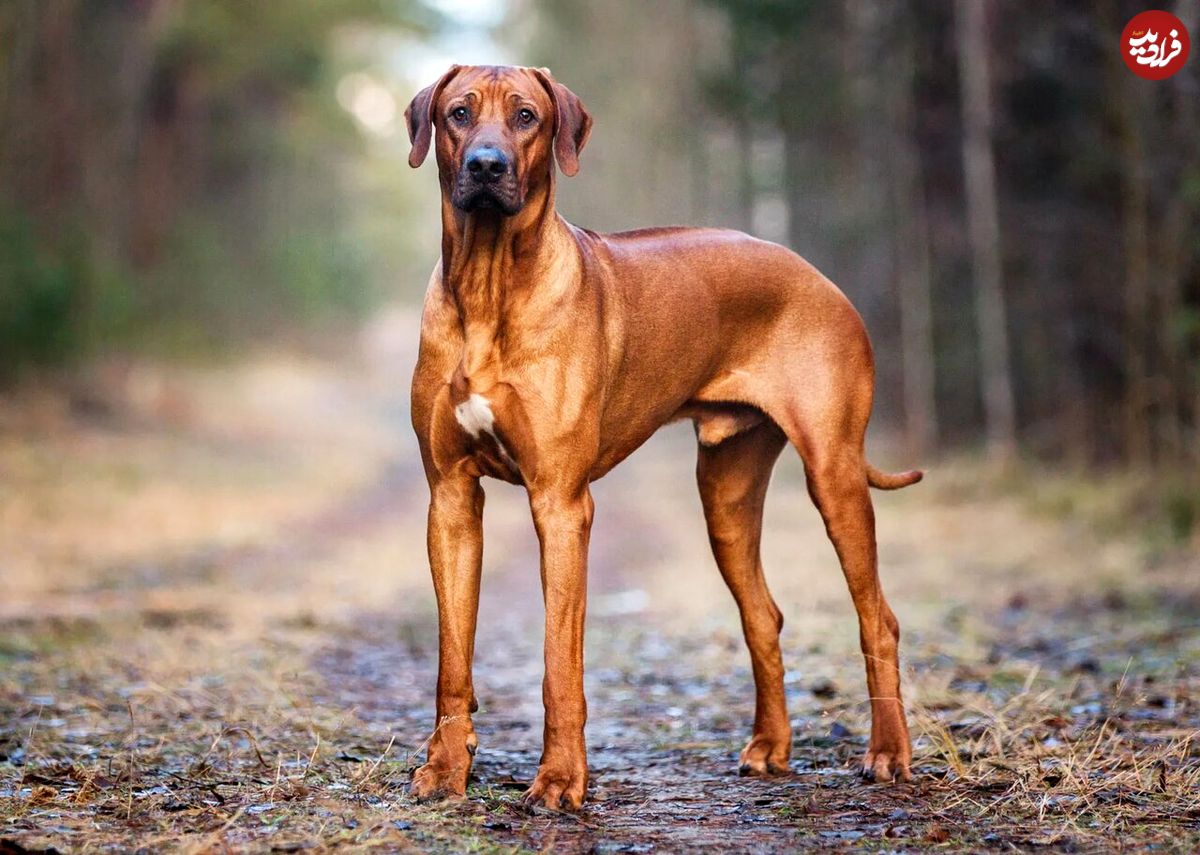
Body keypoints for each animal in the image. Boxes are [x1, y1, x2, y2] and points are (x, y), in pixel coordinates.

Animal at [408, 65, 921, 806]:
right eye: (458, 113)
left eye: (527, 116)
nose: (485, 164)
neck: (489, 284)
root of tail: (817, 274)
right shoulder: (449, 498)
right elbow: (453, 659)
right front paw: (447, 767)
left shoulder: (561, 504)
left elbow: (559, 663)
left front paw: (560, 779)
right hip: (726, 495)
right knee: (763, 614)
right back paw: (771, 746)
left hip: (835, 473)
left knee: (878, 618)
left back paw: (887, 752)